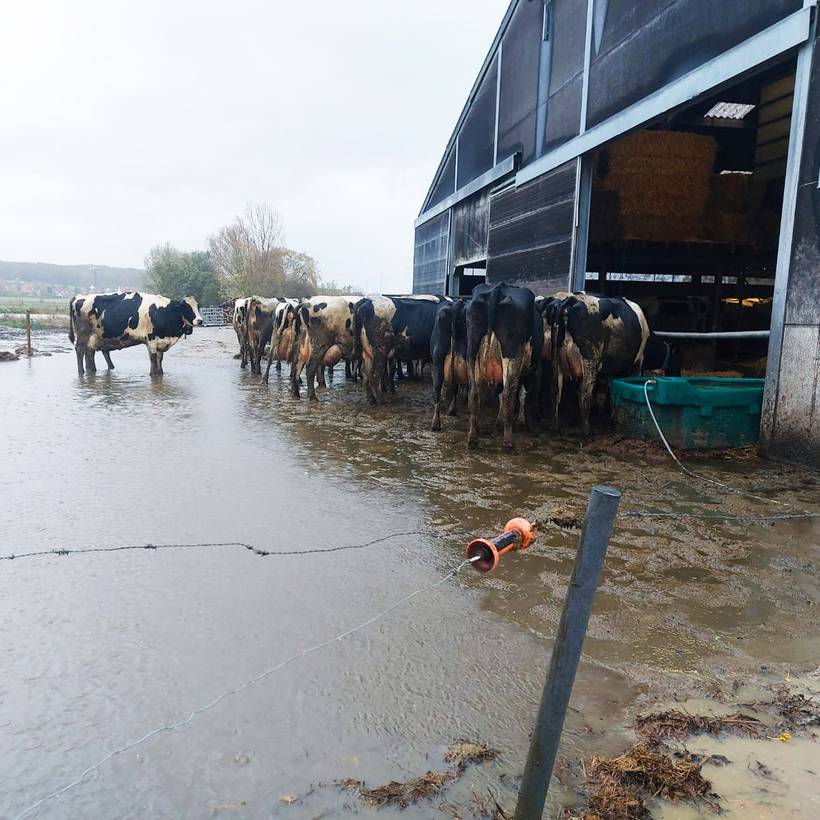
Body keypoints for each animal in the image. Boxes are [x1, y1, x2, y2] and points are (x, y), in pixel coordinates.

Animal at [71, 292, 204, 374]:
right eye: (186, 307)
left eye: (197, 307)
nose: (200, 320)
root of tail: (78, 297)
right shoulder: (151, 339)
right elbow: (153, 359)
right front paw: (153, 375)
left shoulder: (161, 342)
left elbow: (160, 360)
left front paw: (160, 373)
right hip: (83, 335)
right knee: (79, 350)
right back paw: (81, 371)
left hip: (94, 338)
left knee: (89, 353)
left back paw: (91, 370)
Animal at [464, 280, 540, 448]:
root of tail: (499, 288)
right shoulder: (530, 370)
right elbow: (522, 394)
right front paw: (521, 421)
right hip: (511, 356)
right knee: (508, 395)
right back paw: (508, 442)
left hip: (472, 351)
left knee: (474, 392)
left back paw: (473, 437)